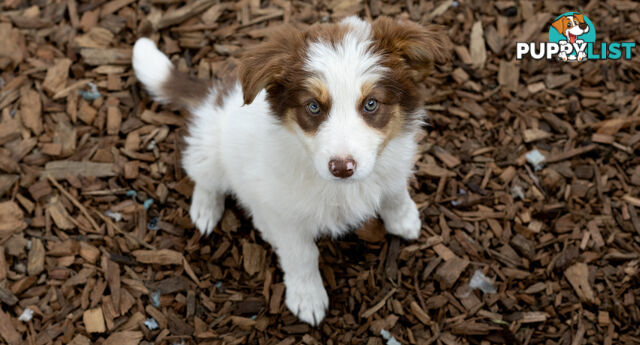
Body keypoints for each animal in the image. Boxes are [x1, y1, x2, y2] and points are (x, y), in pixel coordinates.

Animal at [132, 16, 448, 324]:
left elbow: (395, 193)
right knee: (204, 176)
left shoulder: (393, 164)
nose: (342, 168)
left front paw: (405, 220)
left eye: (371, 104)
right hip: (210, 148)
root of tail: (216, 96)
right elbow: (302, 255)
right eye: (313, 107)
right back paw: (206, 211)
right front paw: (307, 298)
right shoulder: (285, 212)